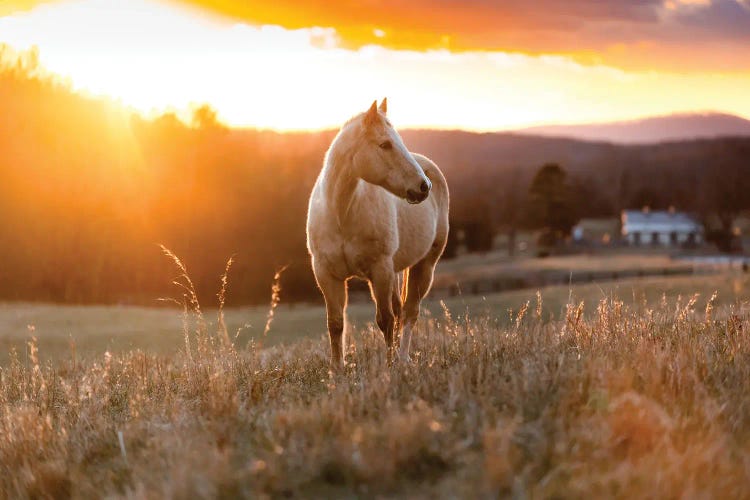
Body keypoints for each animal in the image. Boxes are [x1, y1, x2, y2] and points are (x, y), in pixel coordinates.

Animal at [306, 98, 450, 372]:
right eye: (385, 144)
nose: (423, 186)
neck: (342, 214)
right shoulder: (326, 274)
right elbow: (335, 323)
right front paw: (336, 370)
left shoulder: (379, 270)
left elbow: (385, 319)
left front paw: (389, 365)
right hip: (395, 270)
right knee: (400, 309)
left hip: (424, 266)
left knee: (409, 312)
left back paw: (403, 359)